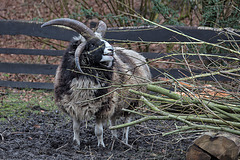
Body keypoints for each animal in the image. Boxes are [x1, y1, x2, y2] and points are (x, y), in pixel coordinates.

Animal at [40, 18, 151, 147]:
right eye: (92, 44)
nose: (111, 50)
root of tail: (138, 55)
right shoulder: (73, 106)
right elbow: (75, 128)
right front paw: (76, 144)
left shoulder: (102, 107)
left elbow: (98, 131)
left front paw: (101, 146)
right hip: (117, 102)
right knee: (113, 121)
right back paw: (114, 139)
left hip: (132, 102)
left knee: (126, 124)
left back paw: (124, 141)